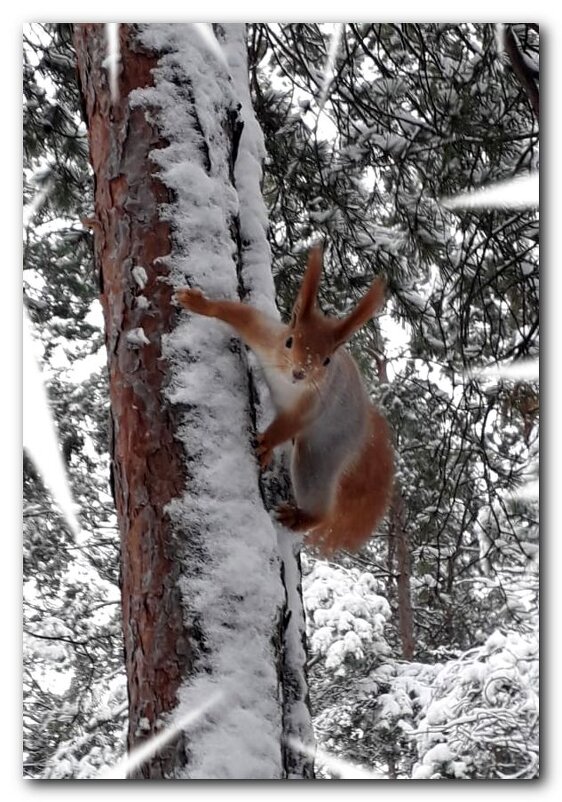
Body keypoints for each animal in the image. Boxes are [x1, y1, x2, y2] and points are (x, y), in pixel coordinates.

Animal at [173, 247, 392, 552]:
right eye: (290, 341)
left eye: (326, 361)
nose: (299, 372)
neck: (287, 383)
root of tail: (363, 427)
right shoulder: (265, 336)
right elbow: (238, 314)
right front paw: (198, 302)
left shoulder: (315, 403)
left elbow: (287, 425)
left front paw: (265, 443)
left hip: (320, 454)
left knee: (321, 505)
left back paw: (300, 517)